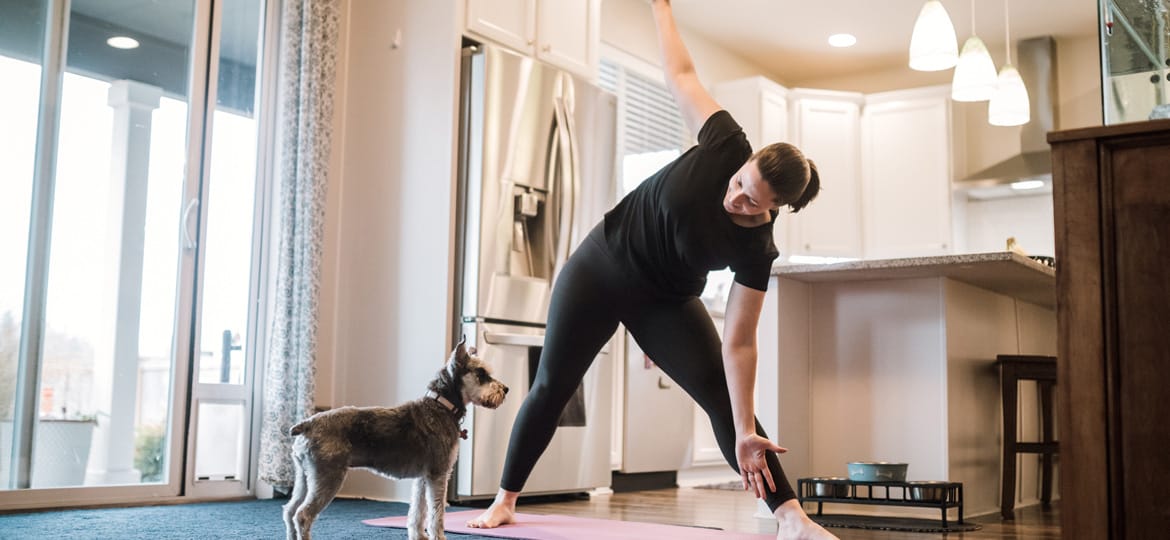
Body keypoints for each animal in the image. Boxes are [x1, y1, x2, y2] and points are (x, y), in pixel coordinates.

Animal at [283, 338, 507, 540]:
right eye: (481, 373)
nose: (506, 389)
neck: (441, 405)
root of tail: (308, 424)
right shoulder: (438, 474)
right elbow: (437, 513)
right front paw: (438, 536)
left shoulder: (423, 477)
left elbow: (418, 510)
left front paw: (419, 535)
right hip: (328, 477)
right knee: (303, 515)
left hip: (305, 478)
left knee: (289, 510)